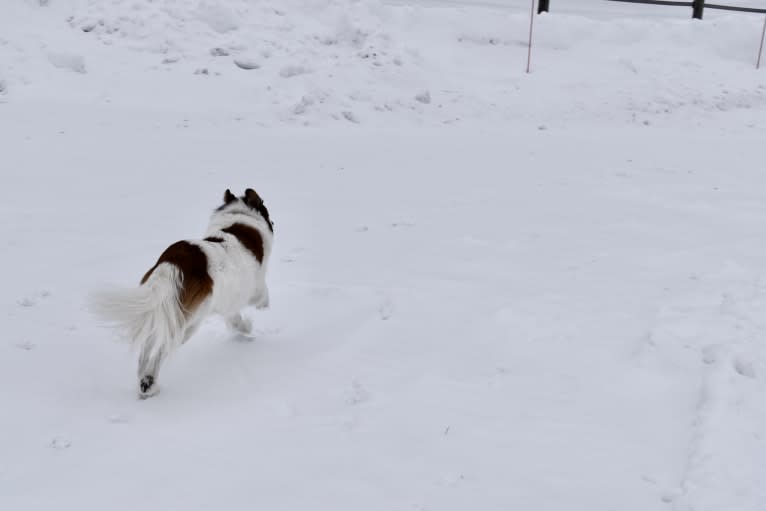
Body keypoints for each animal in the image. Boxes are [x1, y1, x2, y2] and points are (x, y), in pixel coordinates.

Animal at [91, 189, 274, 400]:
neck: (240, 218)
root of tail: (175, 261)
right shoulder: (255, 287)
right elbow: (262, 298)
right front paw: (256, 318)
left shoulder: (227, 301)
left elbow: (234, 319)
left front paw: (244, 328)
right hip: (188, 322)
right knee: (159, 350)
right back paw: (149, 384)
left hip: (166, 312)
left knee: (147, 346)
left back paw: (144, 383)